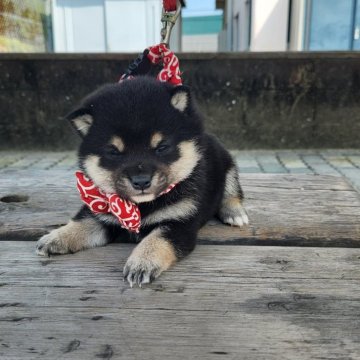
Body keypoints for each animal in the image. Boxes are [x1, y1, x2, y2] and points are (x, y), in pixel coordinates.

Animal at [35, 76, 248, 286]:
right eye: (114, 152)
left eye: (162, 147)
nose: (141, 181)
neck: (140, 206)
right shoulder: (103, 214)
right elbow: (83, 222)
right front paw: (57, 237)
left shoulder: (180, 222)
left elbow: (156, 239)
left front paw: (142, 263)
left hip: (227, 165)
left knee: (232, 192)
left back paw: (234, 213)